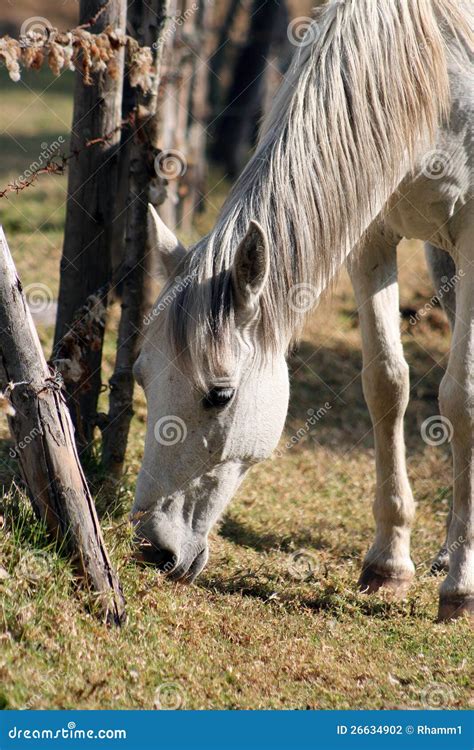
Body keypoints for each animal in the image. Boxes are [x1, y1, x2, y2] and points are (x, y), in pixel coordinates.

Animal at [132, 0, 474, 624]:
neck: (435, 72)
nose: (152, 549)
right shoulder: (371, 237)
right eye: (142, 377)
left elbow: (459, 400)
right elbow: (386, 385)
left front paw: (460, 590)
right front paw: (389, 564)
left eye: (219, 395)